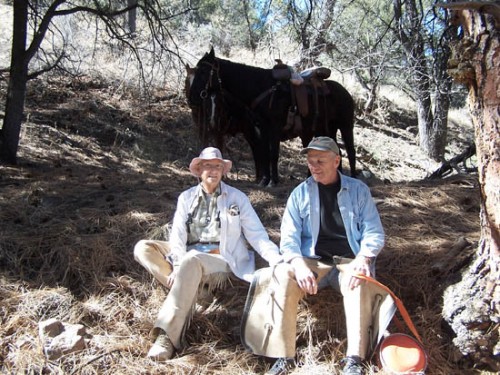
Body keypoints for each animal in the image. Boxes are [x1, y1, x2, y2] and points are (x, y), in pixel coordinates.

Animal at [188, 48, 356, 187]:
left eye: (204, 71)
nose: (192, 98)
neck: (262, 88)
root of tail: (346, 92)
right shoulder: (262, 128)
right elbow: (265, 154)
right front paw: (264, 180)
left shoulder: (274, 127)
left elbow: (273, 154)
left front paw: (273, 181)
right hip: (327, 129)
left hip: (345, 125)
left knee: (351, 151)